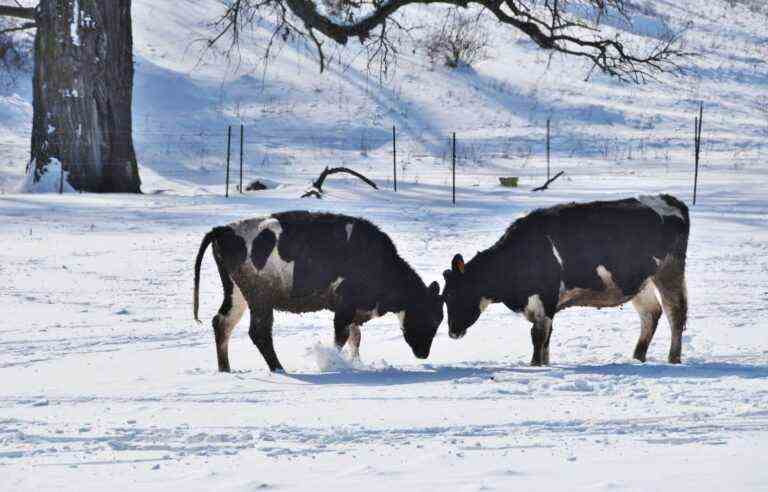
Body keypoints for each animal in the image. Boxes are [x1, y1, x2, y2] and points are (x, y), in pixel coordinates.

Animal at [194, 209, 444, 370]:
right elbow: (341, 338)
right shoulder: (344, 308)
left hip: (237, 294)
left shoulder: (355, 311)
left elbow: (355, 338)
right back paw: (278, 369)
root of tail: (223, 230)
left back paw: (226, 369)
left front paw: (356, 364)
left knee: (222, 323)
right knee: (259, 332)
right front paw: (332, 363)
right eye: (430, 318)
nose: (423, 354)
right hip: (260, 299)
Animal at [444, 195, 688, 366]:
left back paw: (673, 358)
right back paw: (637, 357)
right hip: (639, 282)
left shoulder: (545, 299)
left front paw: (535, 366)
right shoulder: (547, 306)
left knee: (675, 312)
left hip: (669, 270)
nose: (452, 332)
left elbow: (538, 337)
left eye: (457, 293)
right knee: (651, 313)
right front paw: (545, 363)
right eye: (444, 297)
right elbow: (546, 339)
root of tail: (669, 199)